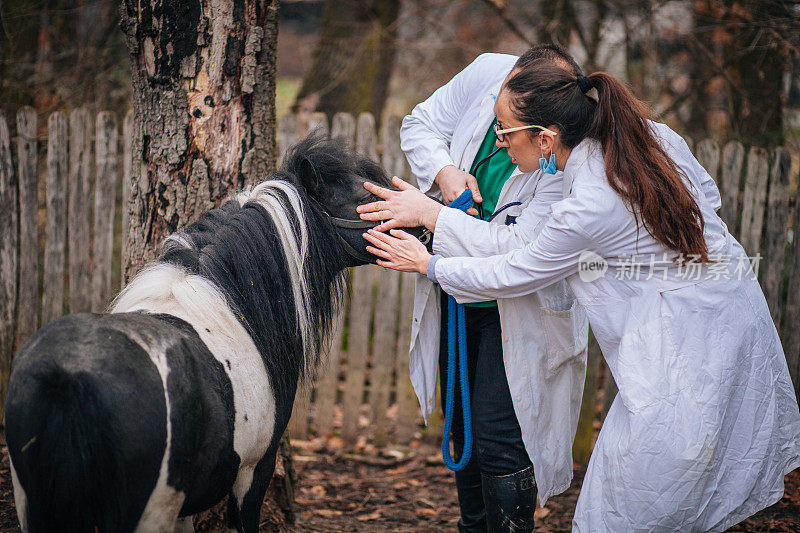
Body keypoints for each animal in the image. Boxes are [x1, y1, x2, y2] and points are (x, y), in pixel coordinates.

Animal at [4, 136, 418, 532]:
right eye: (365, 198)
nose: (422, 225)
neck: (227, 303)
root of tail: (69, 377)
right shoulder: (254, 471)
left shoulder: (185, 505)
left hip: (34, 506)